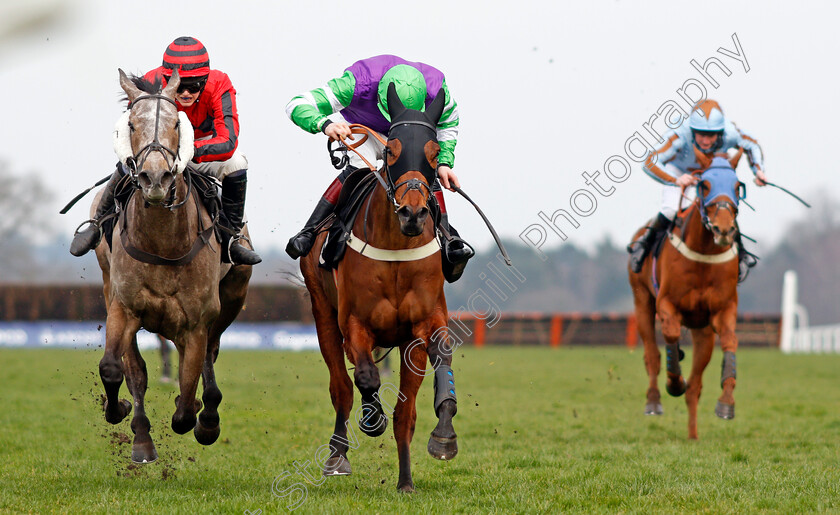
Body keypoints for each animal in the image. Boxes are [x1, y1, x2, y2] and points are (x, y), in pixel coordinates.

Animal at [92, 69, 251, 464]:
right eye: (131, 124)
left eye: (177, 123)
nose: (155, 178)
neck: (163, 242)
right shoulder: (123, 307)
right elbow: (114, 368)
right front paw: (119, 412)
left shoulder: (196, 321)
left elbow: (188, 395)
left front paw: (197, 414)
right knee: (136, 370)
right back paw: (142, 438)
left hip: (233, 295)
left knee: (209, 354)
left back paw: (207, 415)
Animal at [302, 83, 456, 492]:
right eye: (391, 151)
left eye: (434, 153)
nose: (413, 213)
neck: (396, 251)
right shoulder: (354, 322)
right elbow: (366, 376)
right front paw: (372, 419)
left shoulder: (420, 328)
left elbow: (412, 405)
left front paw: (435, 446)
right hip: (323, 313)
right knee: (341, 387)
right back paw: (337, 455)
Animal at [628, 150, 744, 440]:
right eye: (705, 185)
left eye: (737, 186)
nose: (724, 229)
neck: (704, 253)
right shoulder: (667, 304)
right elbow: (669, 338)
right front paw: (674, 382)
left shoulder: (723, 309)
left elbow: (731, 341)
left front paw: (726, 402)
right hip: (641, 301)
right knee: (652, 356)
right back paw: (654, 401)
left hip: (702, 331)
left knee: (696, 386)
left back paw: (693, 435)